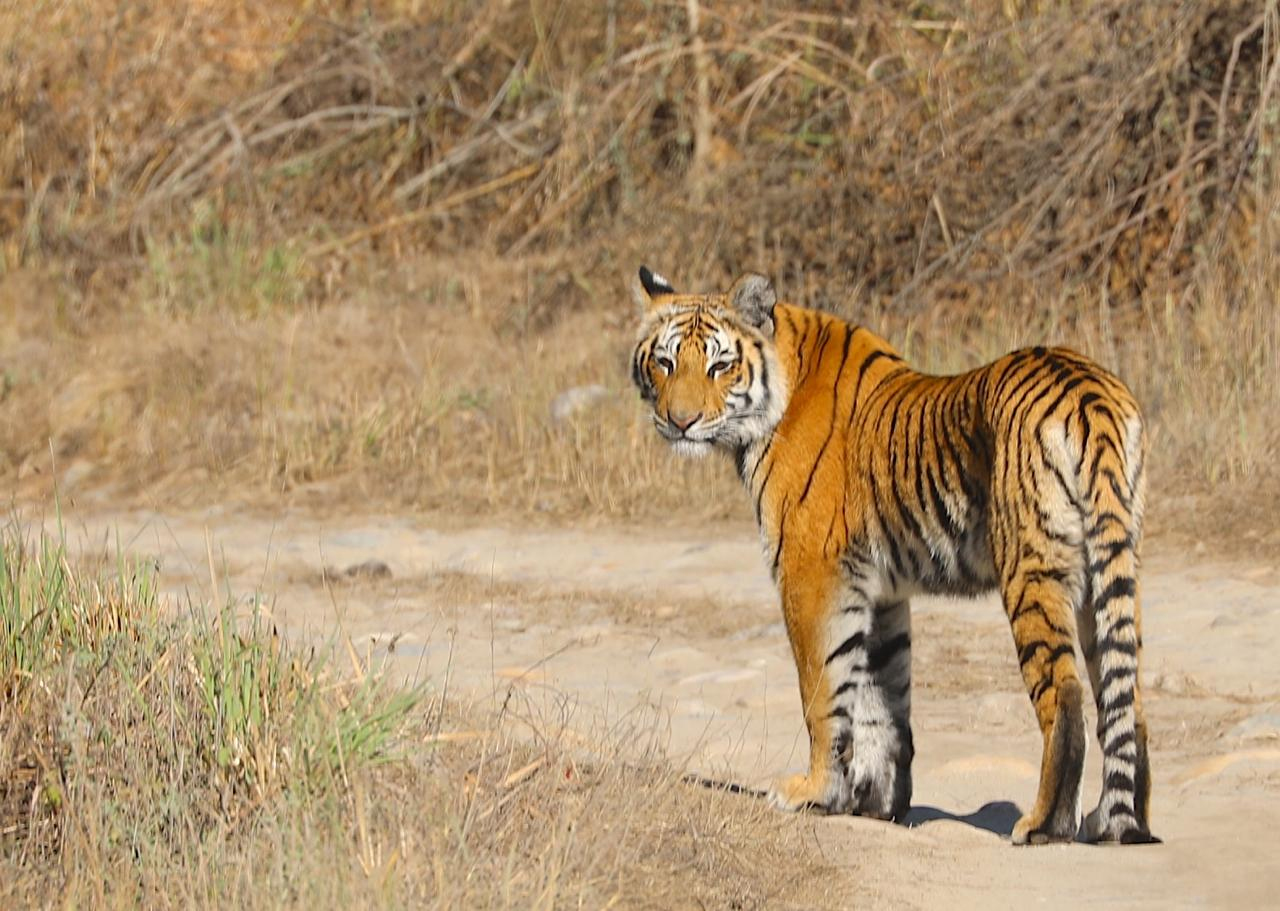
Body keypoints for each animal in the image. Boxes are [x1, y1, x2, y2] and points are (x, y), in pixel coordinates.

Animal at [629, 265, 1157, 845]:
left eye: (720, 365)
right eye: (665, 362)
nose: (680, 421)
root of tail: (1089, 390)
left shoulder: (811, 574)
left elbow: (821, 692)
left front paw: (812, 792)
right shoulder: (879, 591)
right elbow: (883, 702)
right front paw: (874, 804)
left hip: (1033, 570)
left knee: (1065, 694)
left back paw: (1045, 824)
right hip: (1110, 572)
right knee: (1125, 698)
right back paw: (1116, 823)